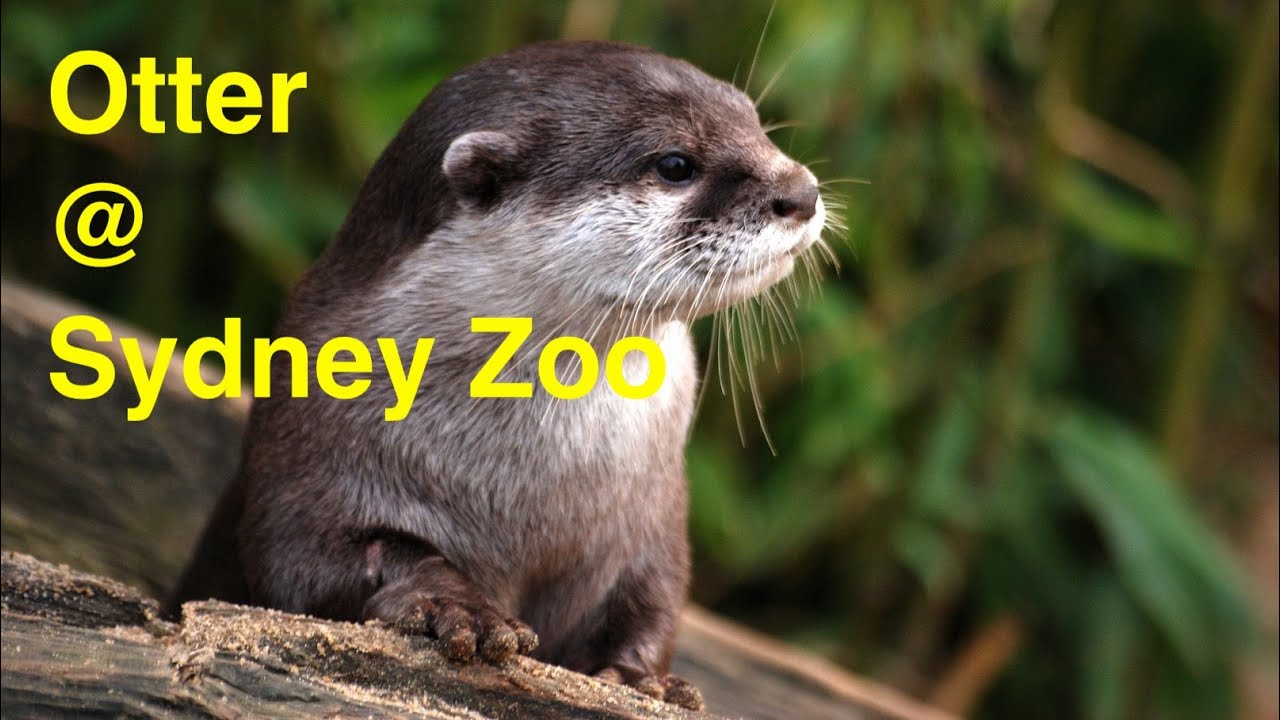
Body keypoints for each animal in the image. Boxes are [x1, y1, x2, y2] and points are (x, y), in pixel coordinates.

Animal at [168, 40, 826, 711]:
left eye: (754, 121)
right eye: (675, 164)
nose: (801, 191)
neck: (533, 489)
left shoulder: (654, 519)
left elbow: (654, 601)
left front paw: (643, 679)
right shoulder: (305, 450)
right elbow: (306, 562)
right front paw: (455, 606)